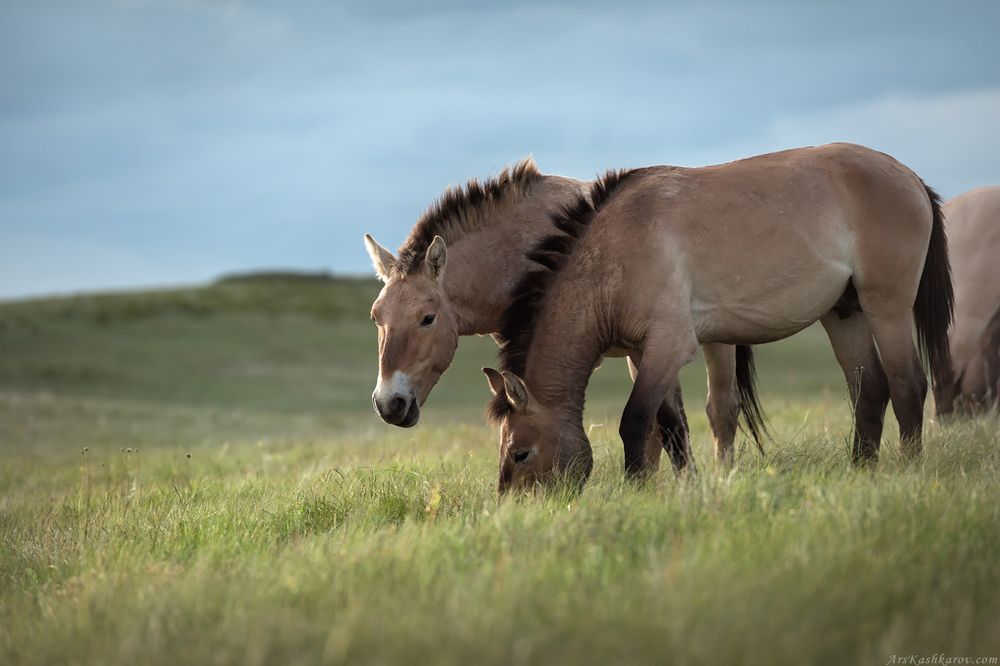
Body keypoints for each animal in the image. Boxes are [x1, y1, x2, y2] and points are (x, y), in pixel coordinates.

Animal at [363, 158, 765, 472]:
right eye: (376, 317)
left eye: (427, 318)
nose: (388, 403)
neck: (521, 249)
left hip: (716, 341)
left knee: (721, 410)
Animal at [484, 143, 954, 493]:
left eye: (520, 453)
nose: (517, 509)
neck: (617, 250)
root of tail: (910, 177)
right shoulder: (644, 353)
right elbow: (669, 426)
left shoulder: (669, 346)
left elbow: (636, 421)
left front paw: (638, 492)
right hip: (844, 314)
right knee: (869, 390)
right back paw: (862, 471)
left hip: (886, 307)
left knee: (908, 385)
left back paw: (909, 471)